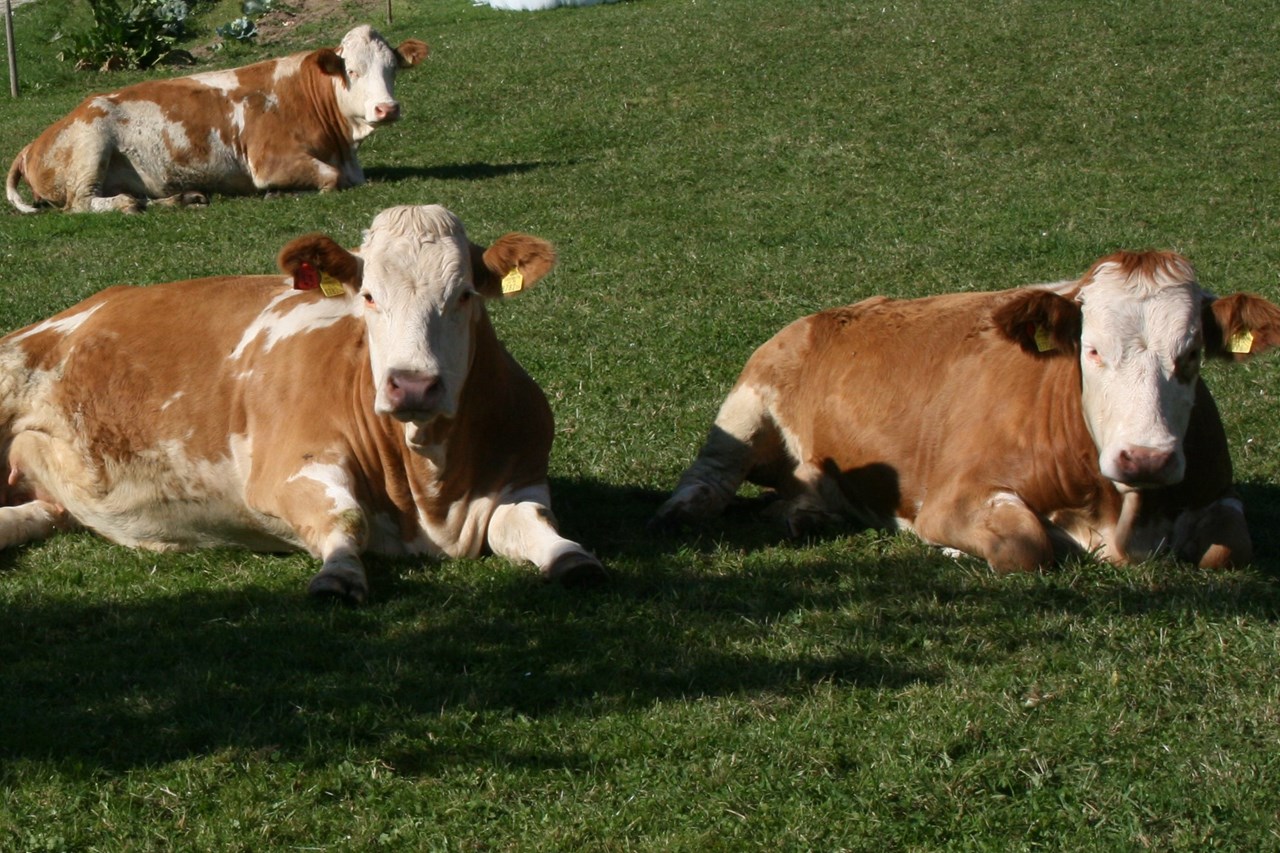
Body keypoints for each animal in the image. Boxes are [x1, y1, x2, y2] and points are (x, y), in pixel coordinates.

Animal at [0, 204, 604, 602]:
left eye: (464, 295)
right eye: (369, 296)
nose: (411, 385)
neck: (430, 489)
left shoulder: (523, 474)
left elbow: (528, 523)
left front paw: (571, 557)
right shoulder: (286, 469)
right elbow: (345, 517)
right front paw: (339, 574)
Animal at [6, 26, 429, 214]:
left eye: (392, 68)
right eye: (352, 71)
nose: (387, 108)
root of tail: (32, 143)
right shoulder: (269, 162)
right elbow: (330, 178)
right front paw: (283, 193)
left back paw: (183, 197)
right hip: (90, 144)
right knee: (81, 203)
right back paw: (128, 203)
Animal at [654, 251, 1280, 573]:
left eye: (1191, 354)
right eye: (1092, 349)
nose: (1145, 458)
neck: (1119, 513)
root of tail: (828, 314)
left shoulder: (1218, 493)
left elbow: (1229, 549)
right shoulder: (953, 496)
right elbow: (1024, 547)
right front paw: (953, 547)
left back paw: (806, 514)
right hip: (748, 402)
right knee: (711, 474)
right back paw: (687, 510)